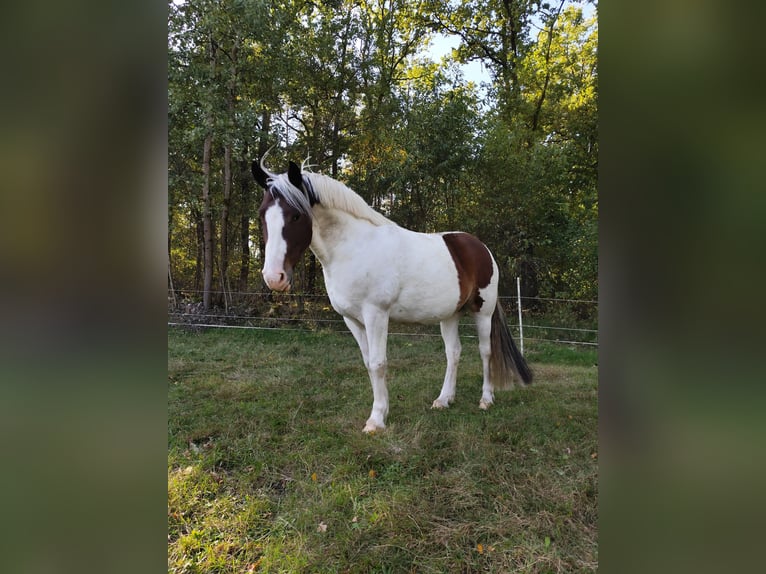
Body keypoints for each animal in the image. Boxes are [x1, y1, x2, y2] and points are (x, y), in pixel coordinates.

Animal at [255, 158, 532, 432]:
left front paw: (376, 420)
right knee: (453, 352)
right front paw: (382, 411)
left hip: (483, 311)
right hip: (449, 314)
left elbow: (379, 363)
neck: (354, 248)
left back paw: (486, 399)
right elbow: (369, 363)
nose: (274, 277)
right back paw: (444, 399)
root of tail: (479, 247)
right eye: (262, 215)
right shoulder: (352, 320)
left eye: (295, 215)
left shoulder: (376, 314)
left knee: (485, 351)